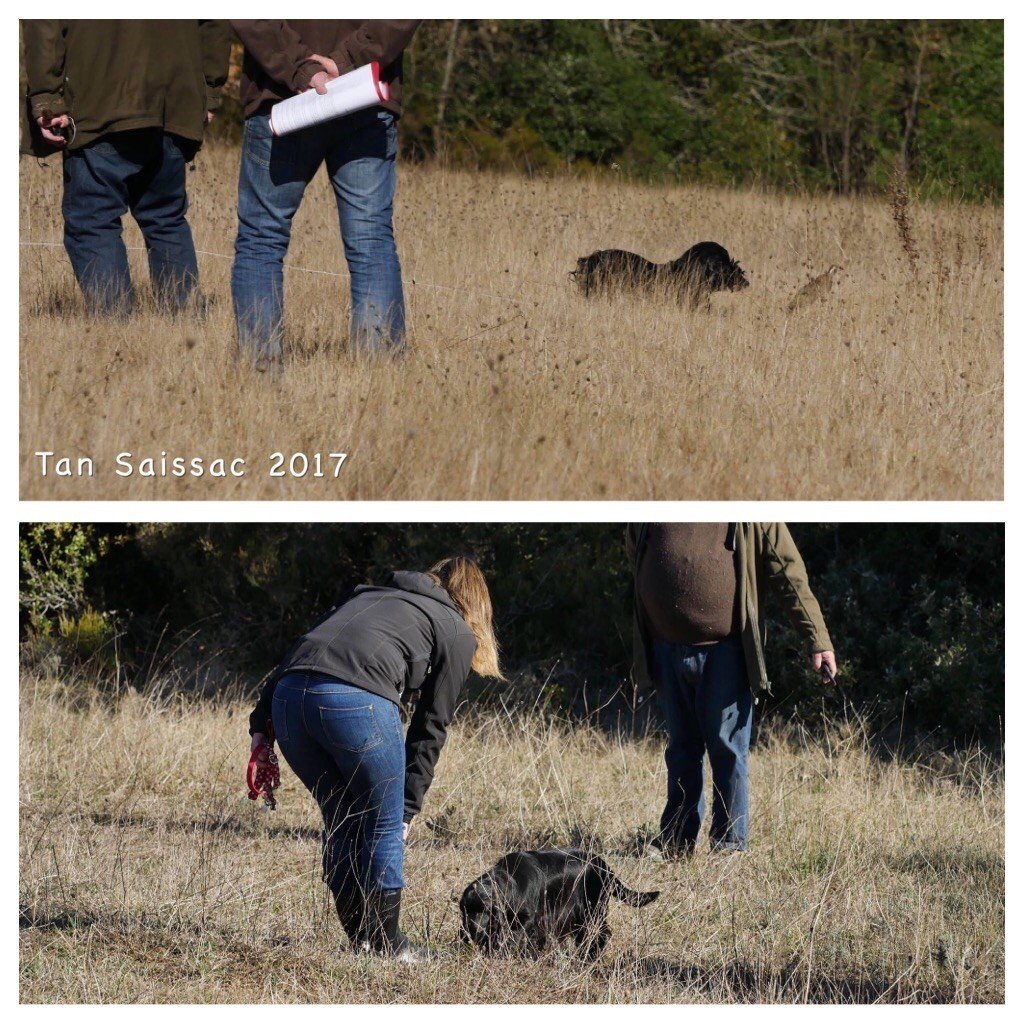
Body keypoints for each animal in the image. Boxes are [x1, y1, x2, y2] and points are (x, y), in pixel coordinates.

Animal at [460, 847, 659, 958]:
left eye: (486, 911)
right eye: (465, 910)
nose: (472, 929)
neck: (512, 880)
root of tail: (604, 866)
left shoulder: (527, 920)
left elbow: (514, 939)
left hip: (592, 911)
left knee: (602, 934)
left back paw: (589, 956)